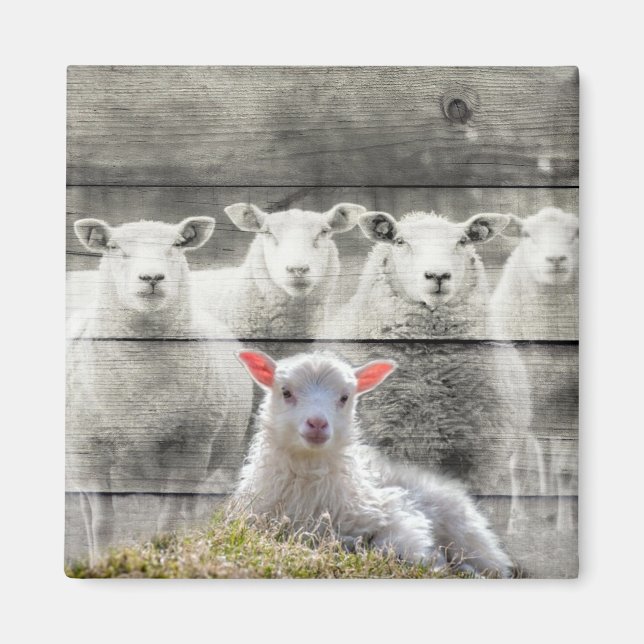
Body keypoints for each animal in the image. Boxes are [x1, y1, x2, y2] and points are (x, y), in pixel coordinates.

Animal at [67, 216, 253, 563]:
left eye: (177, 245)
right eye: (114, 247)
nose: (152, 277)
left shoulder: (190, 450)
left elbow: (167, 521)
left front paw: (166, 555)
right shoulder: (91, 454)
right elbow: (102, 522)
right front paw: (102, 561)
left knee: (189, 511)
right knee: (86, 512)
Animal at [233, 350, 513, 577]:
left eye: (345, 397)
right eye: (286, 392)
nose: (317, 424)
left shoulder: (396, 512)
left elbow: (395, 545)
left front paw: (434, 563)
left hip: (468, 535)